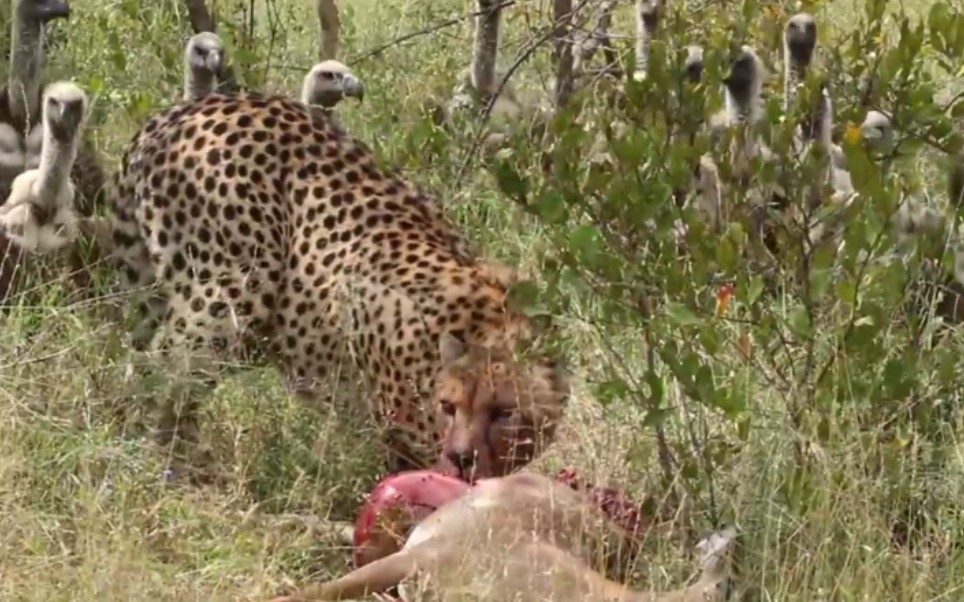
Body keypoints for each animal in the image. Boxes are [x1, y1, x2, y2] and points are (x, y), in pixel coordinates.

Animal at [107, 90, 572, 474]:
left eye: (504, 412)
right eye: (449, 406)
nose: (462, 457)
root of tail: (182, 109)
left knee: (137, 359)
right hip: (231, 295)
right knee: (163, 373)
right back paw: (176, 468)